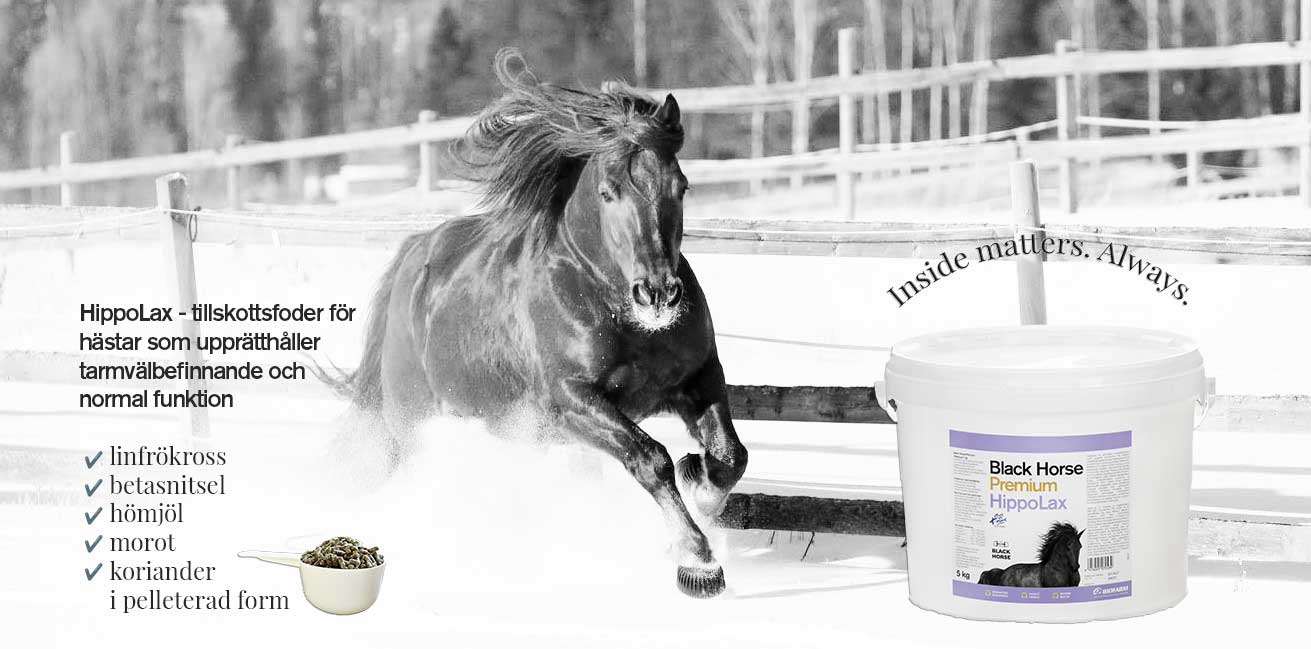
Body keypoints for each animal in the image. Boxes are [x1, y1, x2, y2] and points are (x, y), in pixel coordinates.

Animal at [320, 49, 747, 598]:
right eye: (608, 193)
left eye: (682, 186)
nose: (658, 293)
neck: (621, 316)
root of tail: (414, 258)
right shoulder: (573, 401)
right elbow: (651, 458)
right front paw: (698, 559)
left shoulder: (699, 376)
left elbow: (730, 456)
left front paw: (701, 492)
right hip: (413, 419)